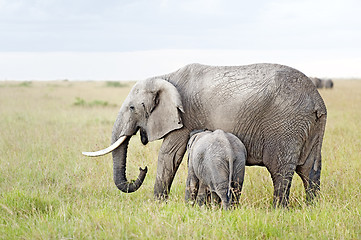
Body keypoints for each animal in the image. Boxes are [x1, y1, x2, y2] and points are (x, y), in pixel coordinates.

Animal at [82, 62, 326, 207]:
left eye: (132, 108)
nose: (141, 169)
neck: (165, 76)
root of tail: (318, 101)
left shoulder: (186, 116)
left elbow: (169, 156)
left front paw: (158, 205)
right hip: (310, 127)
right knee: (309, 170)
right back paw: (311, 208)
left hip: (286, 125)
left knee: (280, 170)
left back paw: (278, 210)